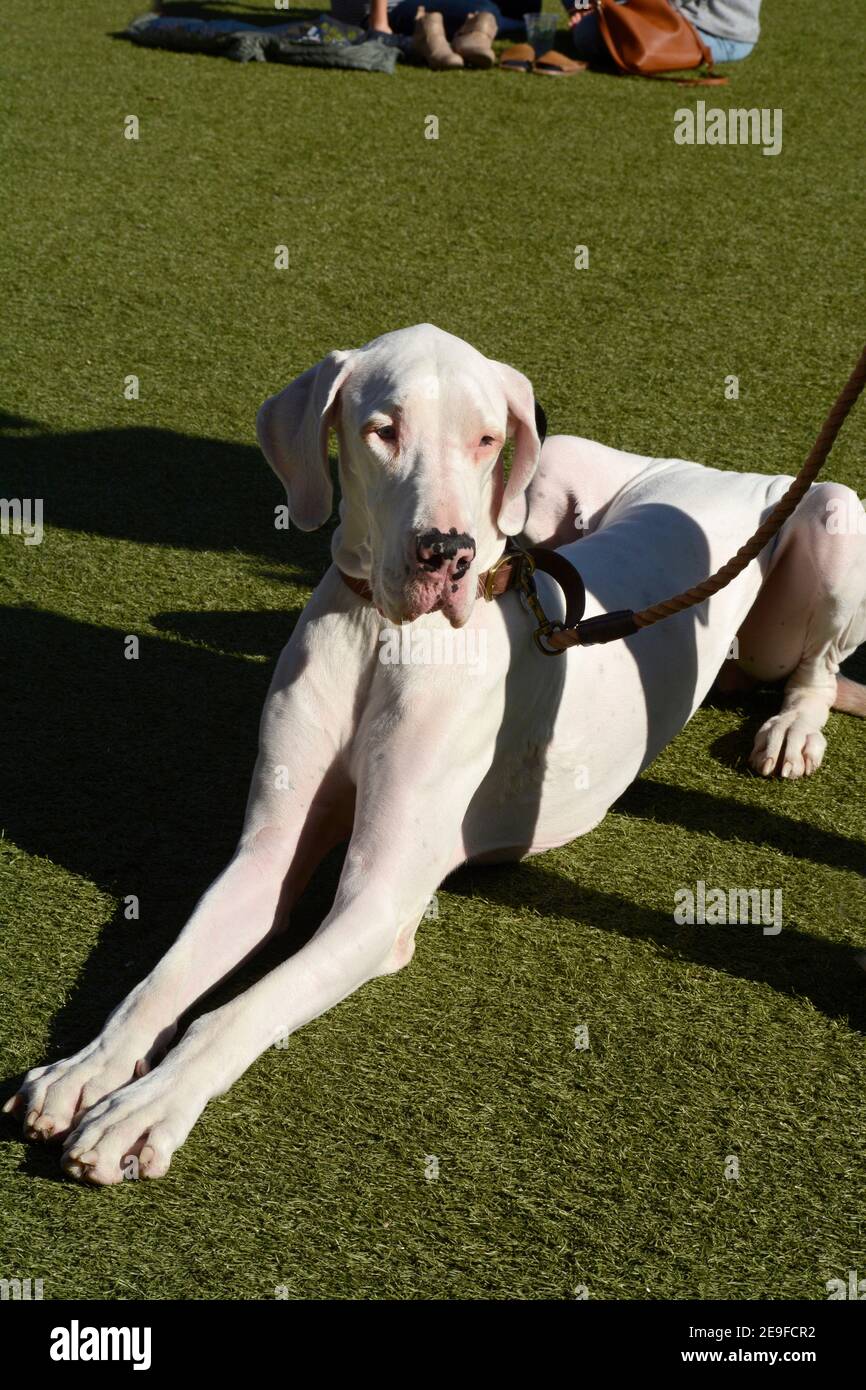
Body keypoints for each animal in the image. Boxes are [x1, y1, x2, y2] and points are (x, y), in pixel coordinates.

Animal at [6, 325, 866, 1184]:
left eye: (485, 439)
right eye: (383, 430)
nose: (447, 552)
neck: (381, 635)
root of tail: (712, 472)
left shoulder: (378, 902)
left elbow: (233, 1012)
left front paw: (146, 1109)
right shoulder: (264, 855)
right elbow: (167, 977)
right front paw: (86, 1069)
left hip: (831, 513)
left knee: (818, 664)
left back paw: (794, 727)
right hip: (558, 467)